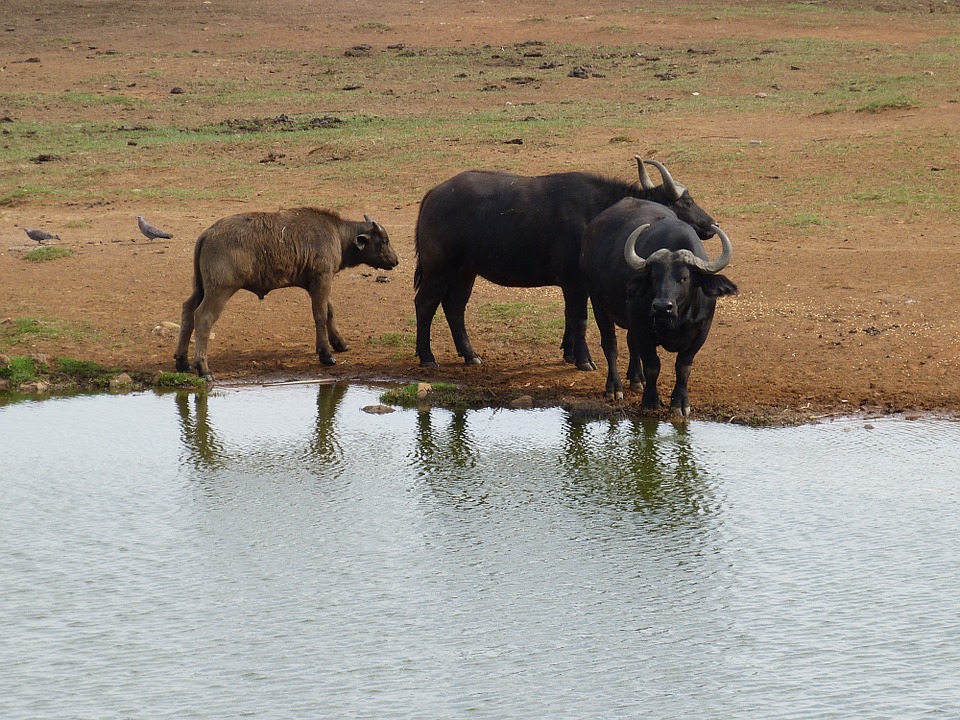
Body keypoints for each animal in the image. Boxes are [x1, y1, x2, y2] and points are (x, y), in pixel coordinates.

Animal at [174, 207, 398, 380]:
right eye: (384, 241)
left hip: (200, 289)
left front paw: (340, 343)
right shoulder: (322, 279)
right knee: (203, 318)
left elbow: (330, 311)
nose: (395, 261)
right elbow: (320, 315)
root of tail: (207, 235)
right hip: (219, 291)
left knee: (187, 311)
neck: (337, 233)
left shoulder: (316, 284)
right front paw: (326, 354)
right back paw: (204, 369)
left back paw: (182, 361)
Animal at [413, 156, 716, 371]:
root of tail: (434, 194)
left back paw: (470, 354)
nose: (711, 224)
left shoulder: (573, 285)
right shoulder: (575, 281)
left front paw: (569, 353)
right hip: (439, 269)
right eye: (686, 202)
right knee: (425, 304)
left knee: (455, 308)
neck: (597, 210)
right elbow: (580, 318)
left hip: (465, 271)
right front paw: (584, 360)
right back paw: (427, 357)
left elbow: (569, 316)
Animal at [580, 197, 737, 415]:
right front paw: (650, 401)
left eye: (684, 277)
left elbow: (683, 366)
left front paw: (680, 403)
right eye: (654, 277)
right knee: (610, 344)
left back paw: (636, 379)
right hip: (598, 302)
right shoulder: (642, 326)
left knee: (630, 341)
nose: (662, 307)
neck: (677, 319)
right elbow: (653, 365)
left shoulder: (702, 330)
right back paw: (615, 387)